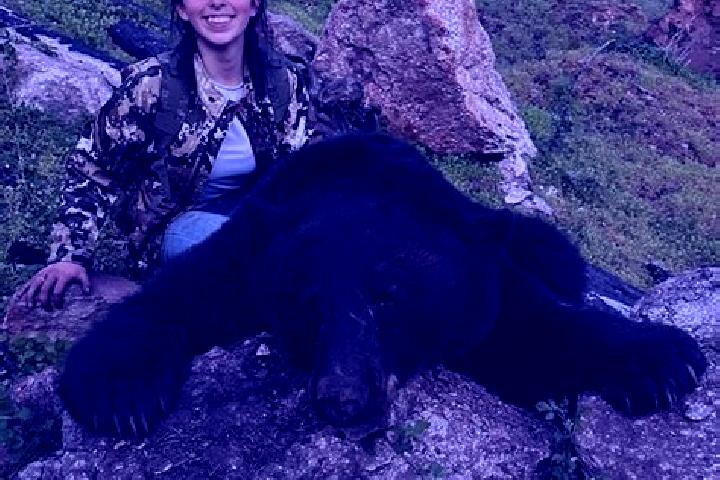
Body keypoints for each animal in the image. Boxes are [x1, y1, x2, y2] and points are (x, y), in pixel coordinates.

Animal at [58, 133, 707, 437]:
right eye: (309, 305)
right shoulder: (250, 253)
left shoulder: (480, 286)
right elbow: (176, 296)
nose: (342, 399)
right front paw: (119, 393)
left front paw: (663, 358)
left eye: (388, 298)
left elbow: (536, 334)